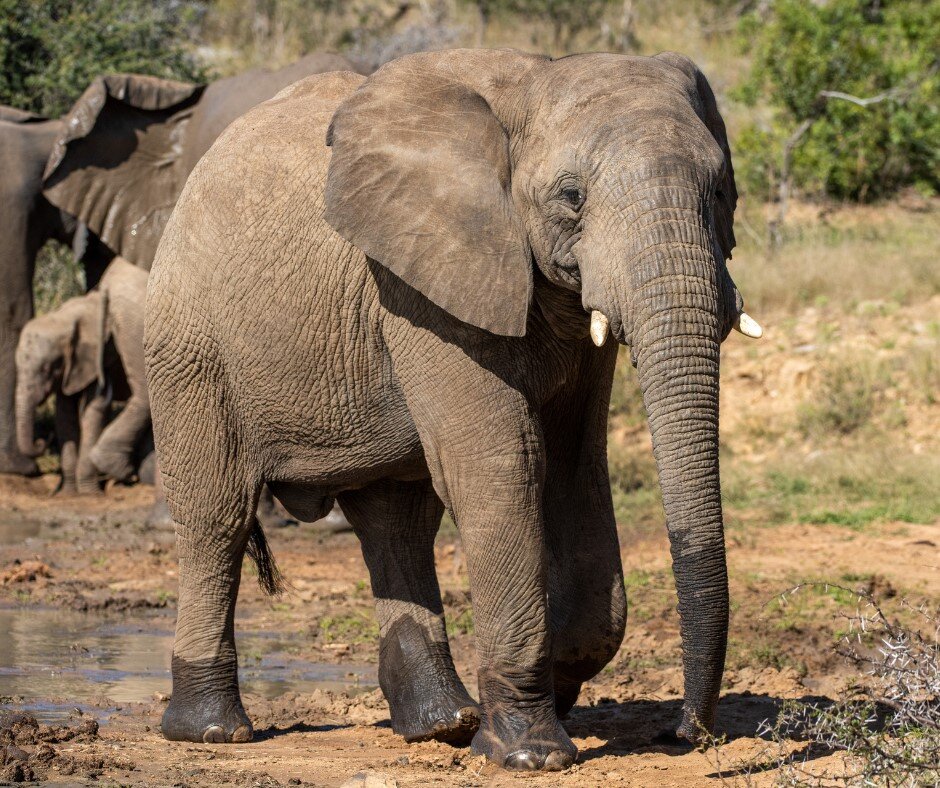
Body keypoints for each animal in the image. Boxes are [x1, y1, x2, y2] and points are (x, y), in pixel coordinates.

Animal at [16, 258, 151, 493]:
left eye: (46, 369)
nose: (42, 441)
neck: (63, 318)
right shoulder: (71, 369)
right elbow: (65, 413)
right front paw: (69, 493)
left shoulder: (97, 360)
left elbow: (93, 410)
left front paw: (89, 493)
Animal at [144, 50, 763, 770]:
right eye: (571, 197)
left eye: (722, 191)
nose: (686, 734)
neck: (532, 80)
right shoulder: (422, 284)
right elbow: (505, 463)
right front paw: (531, 753)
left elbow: (576, 468)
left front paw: (552, 690)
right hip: (189, 342)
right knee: (217, 515)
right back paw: (214, 731)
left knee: (398, 521)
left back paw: (442, 724)